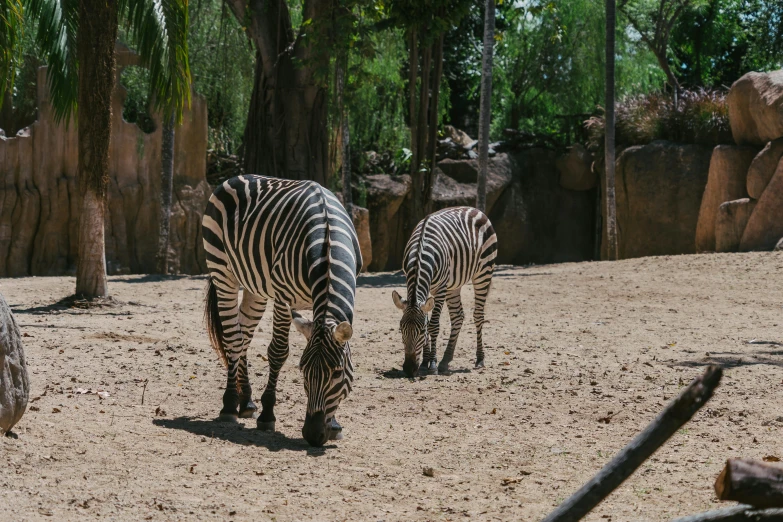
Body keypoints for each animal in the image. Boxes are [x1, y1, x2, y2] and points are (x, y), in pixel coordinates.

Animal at [202, 176, 362, 446]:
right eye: (303, 371)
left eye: (338, 372)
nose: (313, 435)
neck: (327, 238)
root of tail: (237, 177)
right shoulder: (283, 296)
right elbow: (277, 352)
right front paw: (267, 415)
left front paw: (335, 424)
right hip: (223, 273)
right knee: (233, 338)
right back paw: (230, 405)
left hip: (256, 288)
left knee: (244, 335)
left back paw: (246, 402)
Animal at [392, 205, 496, 376]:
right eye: (401, 329)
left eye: (421, 331)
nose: (408, 369)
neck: (421, 251)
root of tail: (474, 209)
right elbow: (428, 319)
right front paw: (425, 362)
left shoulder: (440, 289)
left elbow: (433, 325)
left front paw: (432, 364)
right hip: (453, 286)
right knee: (458, 316)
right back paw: (446, 360)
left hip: (483, 272)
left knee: (478, 316)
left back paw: (480, 359)